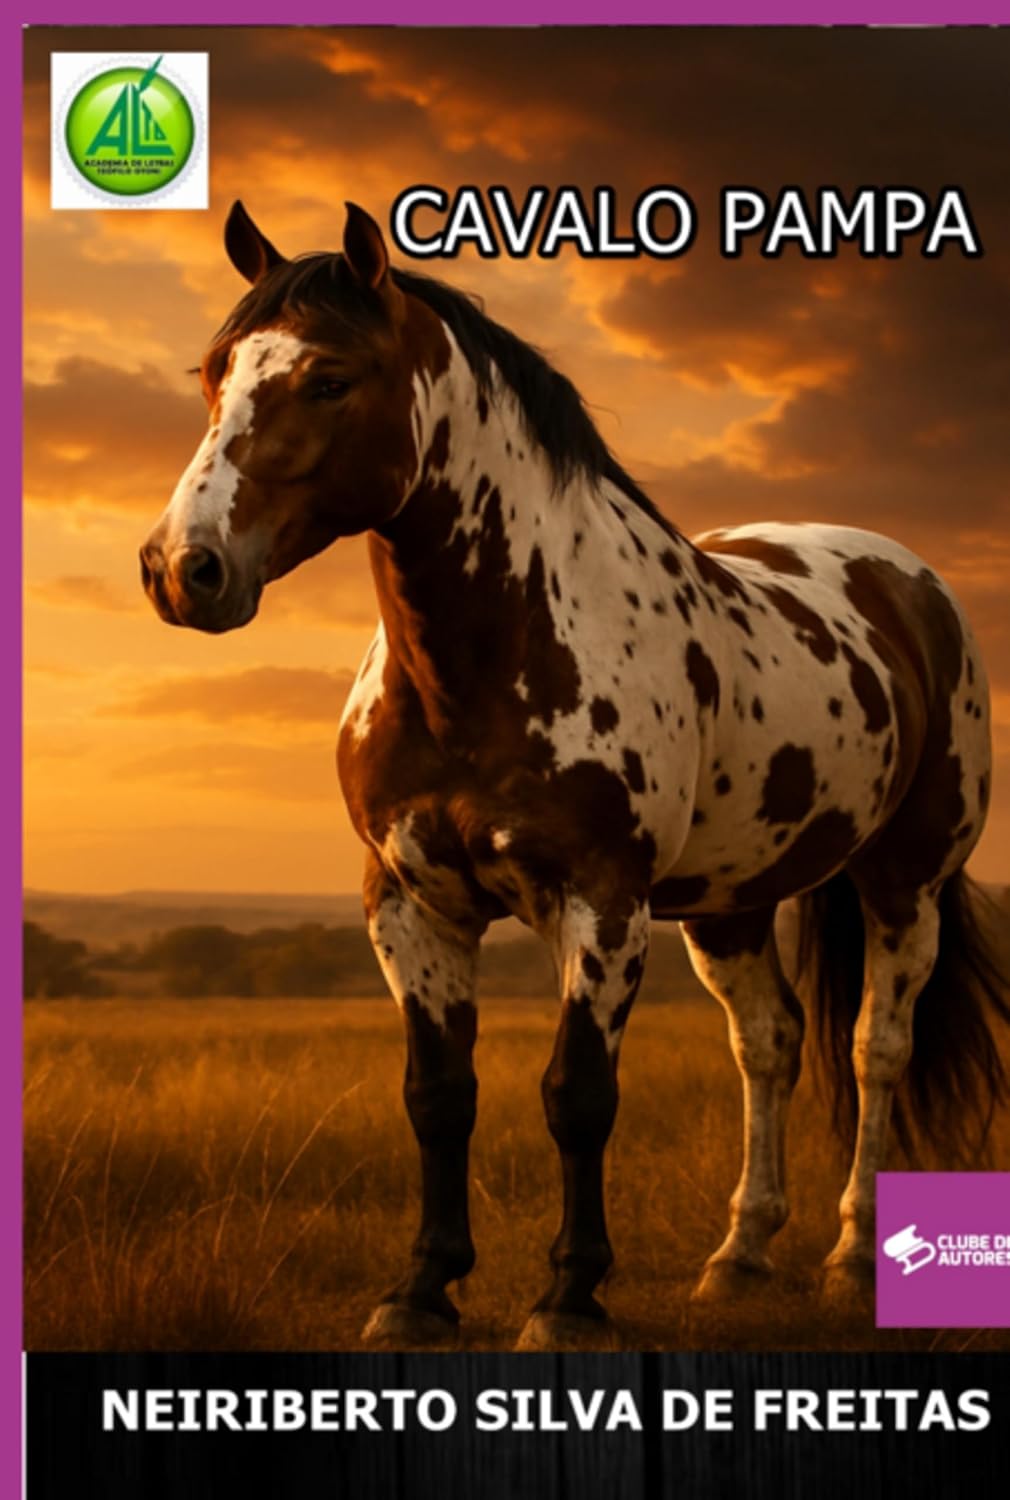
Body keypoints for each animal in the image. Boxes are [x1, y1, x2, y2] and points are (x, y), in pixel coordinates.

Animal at [140, 200, 1009, 1351]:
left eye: (328, 378)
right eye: (214, 371)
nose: (181, 569)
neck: (493, 654)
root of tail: (904, 582)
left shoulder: (600, 902)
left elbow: (577, 1094)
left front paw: (568, 1299)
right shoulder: (411, 907)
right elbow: (438, 1096)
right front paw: (420, 1291)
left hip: (903, 883)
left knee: (876, 1049)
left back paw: (849, 1256)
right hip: (730, 905)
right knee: (770, 1045)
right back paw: (738, 1259)